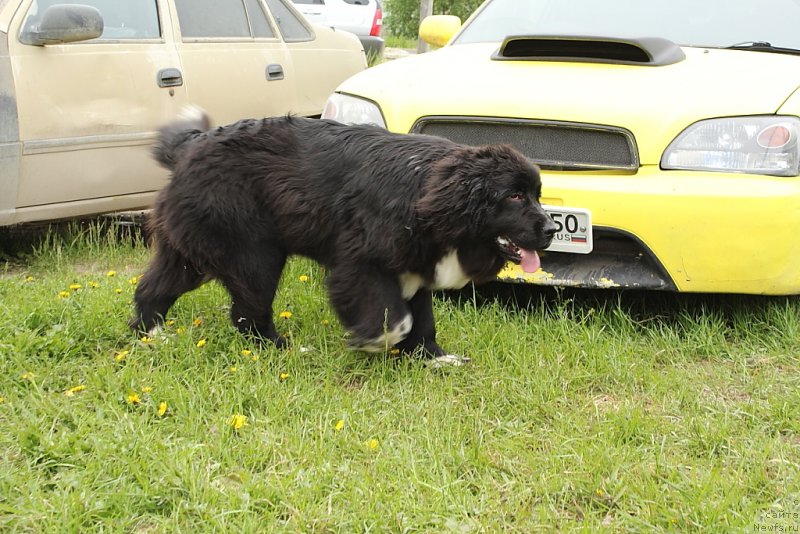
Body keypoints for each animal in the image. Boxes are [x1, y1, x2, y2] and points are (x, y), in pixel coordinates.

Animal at [131, 109, 556, 368]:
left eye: (537, 194)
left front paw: (434, 356)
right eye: (514, 196)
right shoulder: (362, 261)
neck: (427, 195)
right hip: (253, 251)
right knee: (247, 311)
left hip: (192, 248)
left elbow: (422, 318)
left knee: (154, 286)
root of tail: (192, 145)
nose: (552, 229)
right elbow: (395, 317)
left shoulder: (415, 263)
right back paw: (282, 348)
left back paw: (152, 336)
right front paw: (370, 341)